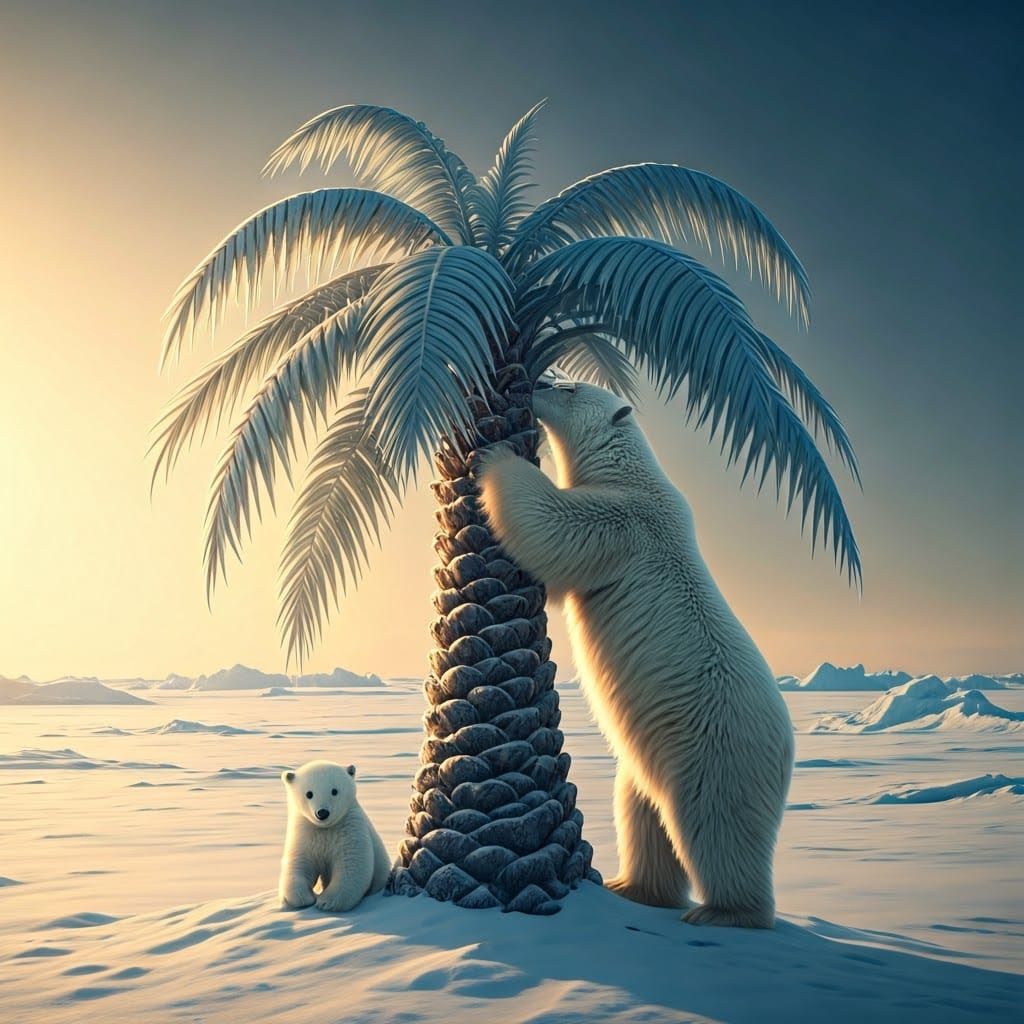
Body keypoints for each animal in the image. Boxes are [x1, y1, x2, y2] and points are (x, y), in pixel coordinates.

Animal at [279, 760, 390, 912]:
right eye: (309, 794)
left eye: (334, 791)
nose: (322, 813)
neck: (325, 828)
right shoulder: (306, 832)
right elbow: (299, 862)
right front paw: (302, 898)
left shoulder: (349, 829)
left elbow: (350, 865)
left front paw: (326, 902)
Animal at [478, 380, 794, 928]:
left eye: (568, 387)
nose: (538, 383)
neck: (633, 475)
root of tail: (788, 747)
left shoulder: (624, 521)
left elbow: (554, 527)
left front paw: (497, 456)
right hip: (651, 755)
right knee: (642, 812)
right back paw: (633, 887)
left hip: (717, 748)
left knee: (714, 825)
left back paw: (727, 912)